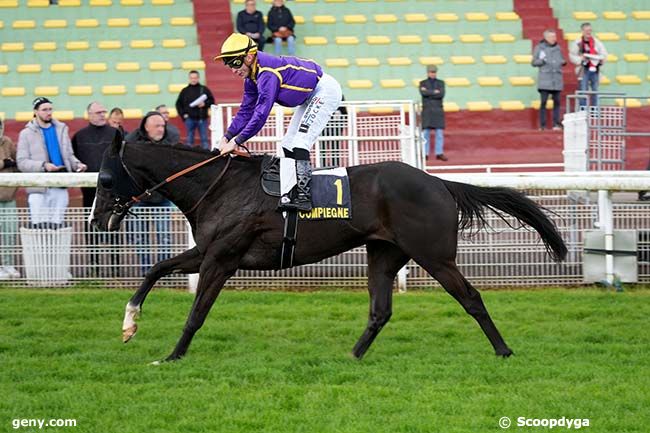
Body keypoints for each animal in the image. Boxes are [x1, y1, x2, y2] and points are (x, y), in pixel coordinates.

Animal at [91, 137, 568, 362]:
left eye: (106, 179)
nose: (96, 222)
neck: (221, 186)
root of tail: (438, 182)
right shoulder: (206, 251)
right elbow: (155, 269)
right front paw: (129, 324)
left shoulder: (222, 259)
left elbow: (196, 313)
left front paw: (173, 355)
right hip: (384, 253)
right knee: (380, 311)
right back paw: (351, 356)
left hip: (434, 255)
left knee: (471, 297)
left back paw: (503, 351)